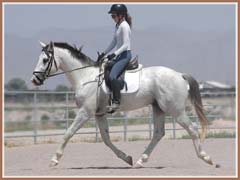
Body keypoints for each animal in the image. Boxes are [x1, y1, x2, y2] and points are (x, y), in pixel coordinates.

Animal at [30, 41, 218, 168]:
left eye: (45, 60)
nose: (35, 80)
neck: (86, 77)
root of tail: (179, 75)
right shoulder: (99, 114)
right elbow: (106, 139)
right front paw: (127, 158)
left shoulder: (85, 112)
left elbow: (68, 133)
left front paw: (54, 159)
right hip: (158, 108)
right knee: (158, 133)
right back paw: (141, 161)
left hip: (175, 110)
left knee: (192, 128)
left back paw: (207, 158)